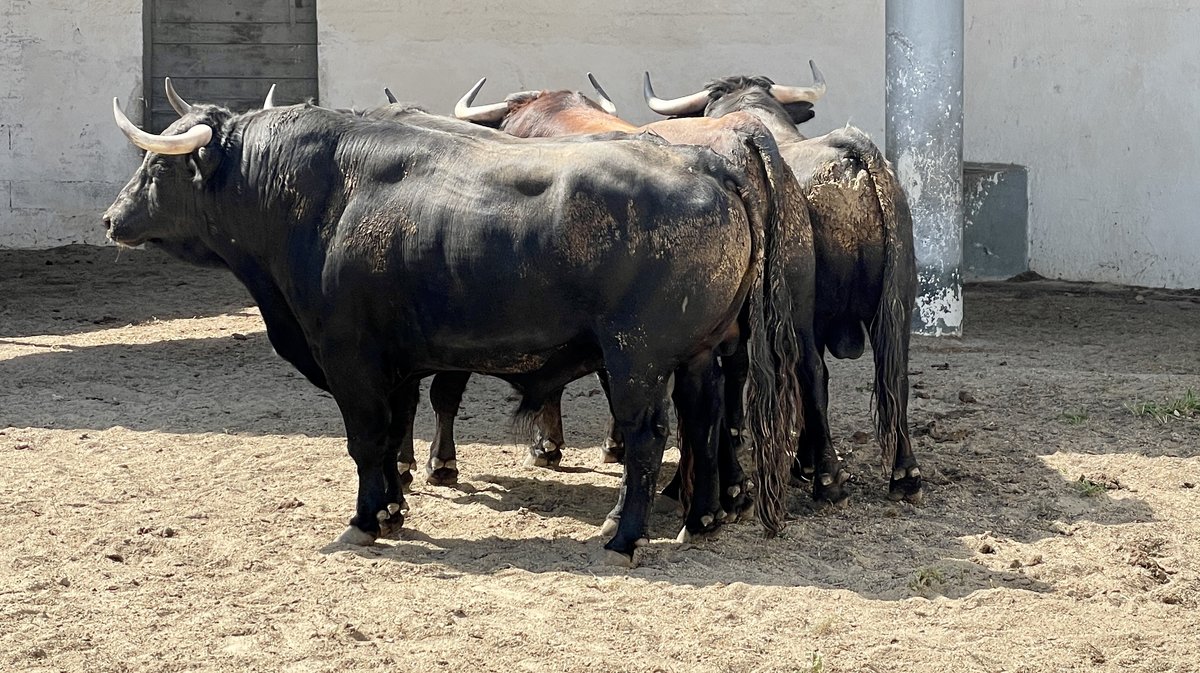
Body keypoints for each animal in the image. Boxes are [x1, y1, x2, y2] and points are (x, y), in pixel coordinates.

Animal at [105, 99, 806, 561]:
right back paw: (701, 518)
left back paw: (625, 535)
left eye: (157, 169)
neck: (314, 197)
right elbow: (394, 434)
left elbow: (366, 438)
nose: (112, 218)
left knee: (647, 436)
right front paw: (393, 507)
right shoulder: (396, 363)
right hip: (699, 353)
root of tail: (707, 163)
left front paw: (365, 520)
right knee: (704, 419)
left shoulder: (349, 357)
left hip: (636, 358)